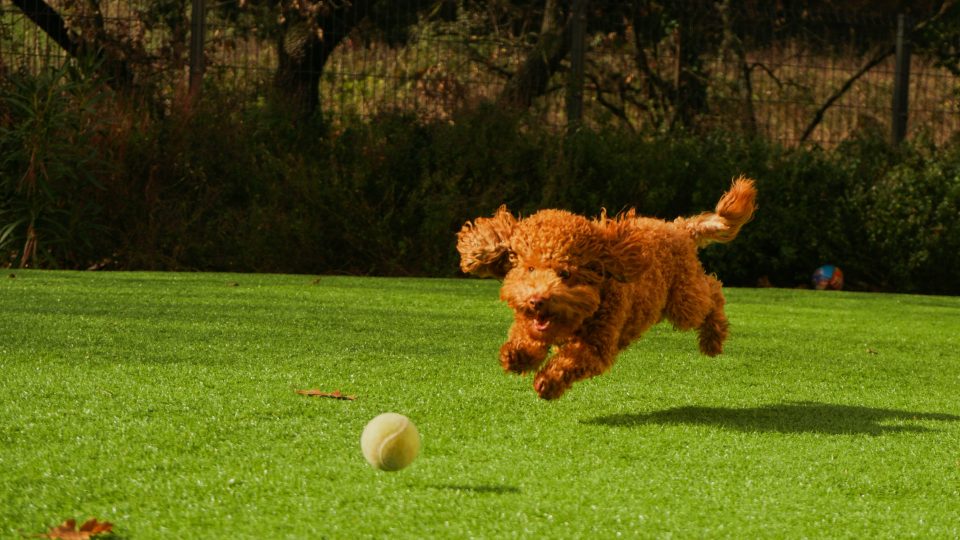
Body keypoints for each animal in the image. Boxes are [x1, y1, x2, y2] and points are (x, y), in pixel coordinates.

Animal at [458, 179, 756, 398]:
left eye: (566, 273)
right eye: (530, 268)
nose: (537, 300)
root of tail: (680, 227)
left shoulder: (597, 345)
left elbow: (570, 361)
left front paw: (548, 382)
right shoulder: (530, 324)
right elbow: (526, 338)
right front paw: (517, 355)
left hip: (683, 301)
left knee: (712, 292)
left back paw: (713, 338)